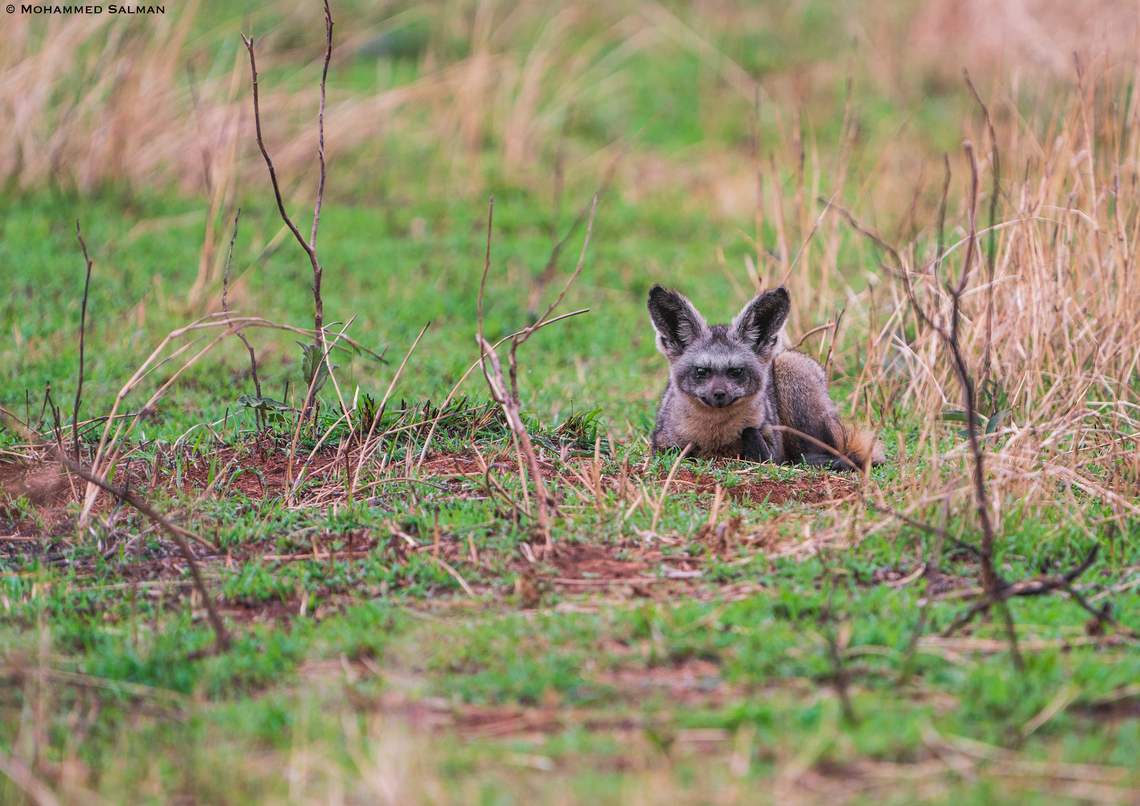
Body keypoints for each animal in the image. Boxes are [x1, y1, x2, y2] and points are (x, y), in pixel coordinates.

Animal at [647, 284, 884, 471]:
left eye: (736, 372)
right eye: (701, 371)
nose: (719, 394)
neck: (716, 435)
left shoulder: (772, 448)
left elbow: (754, 439)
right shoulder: (662, 445)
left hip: (790, 365)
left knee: (813, 455)